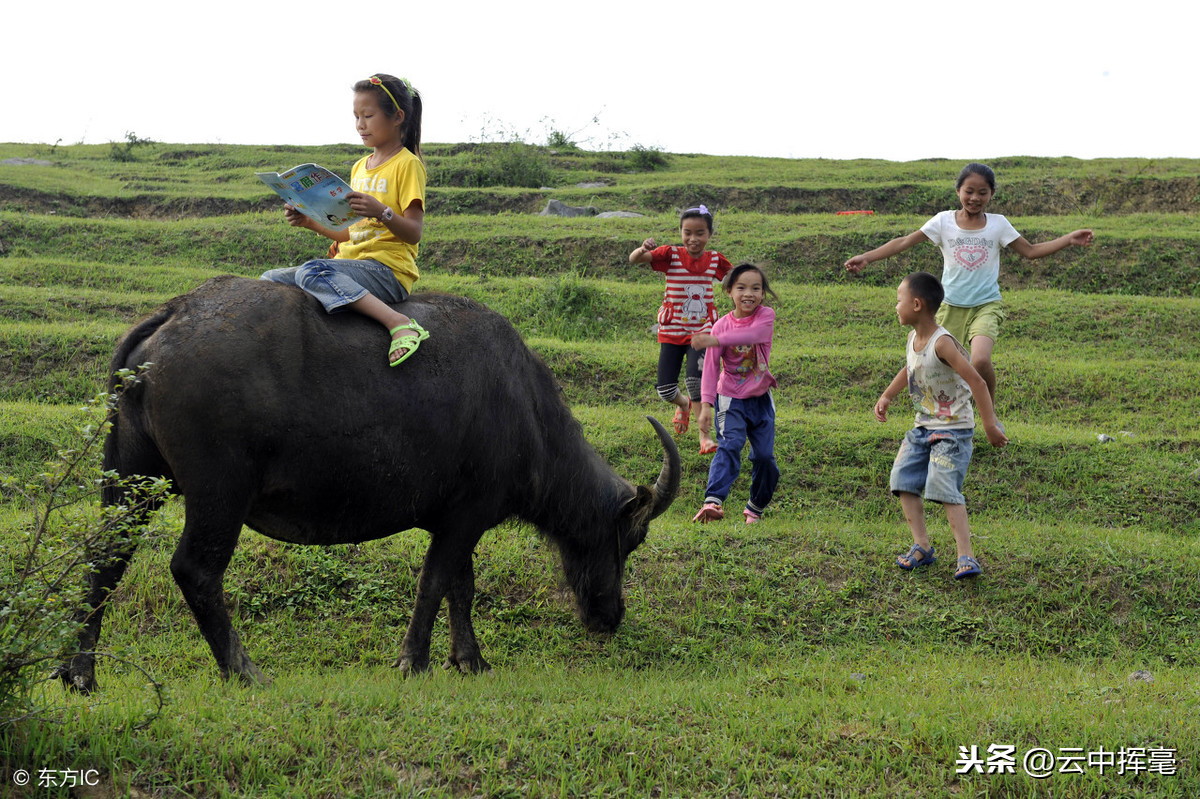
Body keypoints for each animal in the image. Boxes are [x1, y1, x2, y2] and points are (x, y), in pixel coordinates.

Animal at [58, 277, 676, 686]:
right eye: (631, 540)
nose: (611, 616)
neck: (524, 408)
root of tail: (173, 315)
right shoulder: (468, 515)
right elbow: (436, 583)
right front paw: (413, 660)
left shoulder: (456, 518)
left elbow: (461, 586)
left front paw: (469, 660)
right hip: (219, 493)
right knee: (195, 570)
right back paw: (245, 671)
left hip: (131, 478)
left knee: (106, 558)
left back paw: (78, 672)